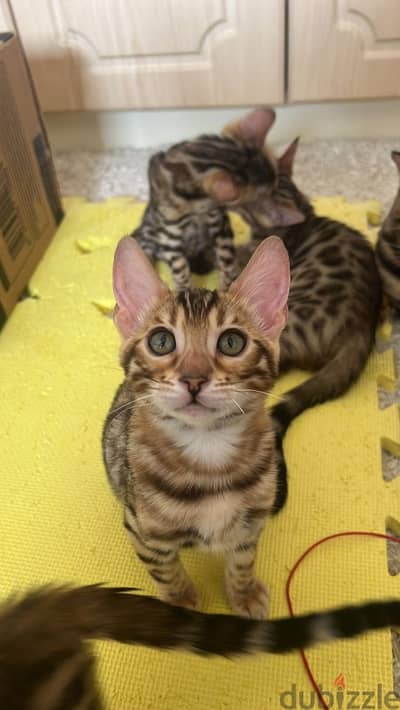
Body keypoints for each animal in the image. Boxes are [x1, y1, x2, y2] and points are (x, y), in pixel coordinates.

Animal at [103, 236, 290, 620]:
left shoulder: (251, 523)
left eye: (232, 342)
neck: (208, 448)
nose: (193, 379)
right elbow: (165, 570)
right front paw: (180, 601)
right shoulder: (142, 530)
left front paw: (244, 593)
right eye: (160, 341)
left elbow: (243, 562)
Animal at [131, 107, 304, 290]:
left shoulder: (220, 225)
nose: (272, 204)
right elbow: (180, 269)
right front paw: (185, 290)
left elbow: (227, 259)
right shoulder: (170, 236)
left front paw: (227, 285)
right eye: (255, 200)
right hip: (148, 235)